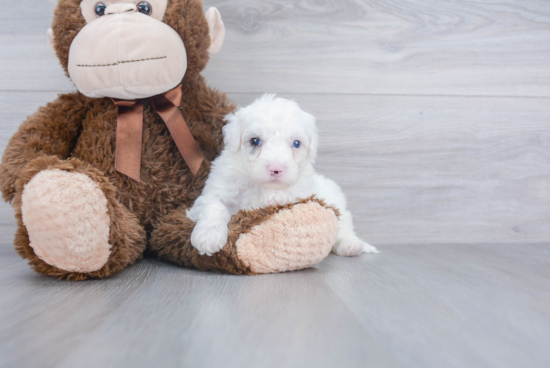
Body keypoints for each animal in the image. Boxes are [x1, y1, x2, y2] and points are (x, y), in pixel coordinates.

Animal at [190, 95, 380, 256]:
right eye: (255, 141)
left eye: (296, 143)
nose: (276, 169)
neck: (263, 187)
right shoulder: (217, 189)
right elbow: (214, 205)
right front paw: (208, 237)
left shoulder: (302, 195)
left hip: (336, 201)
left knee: (344, 225)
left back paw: (350, 245)